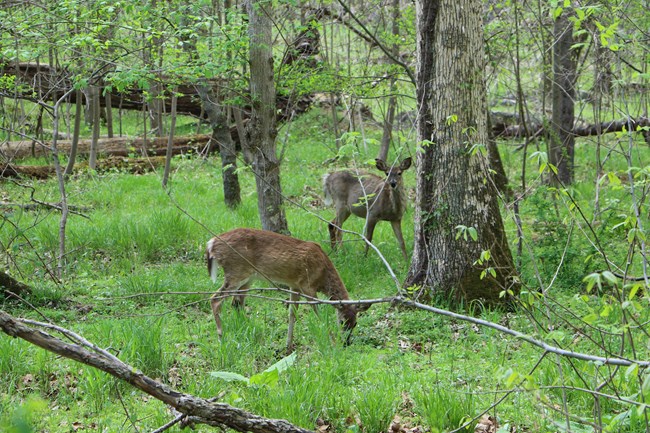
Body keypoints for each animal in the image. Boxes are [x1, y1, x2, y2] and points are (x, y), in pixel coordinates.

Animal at [205, 228, 370, 351]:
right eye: (342, 322)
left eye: (355, 323)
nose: (346, 343)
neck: (322, 275)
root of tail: (211, 243)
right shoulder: (307, 285)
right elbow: (318, 314)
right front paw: (333, 341)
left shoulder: (295, 286)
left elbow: (292, 314)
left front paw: (289, 346)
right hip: (236, 271)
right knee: (215, 300)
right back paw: (221, 336)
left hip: (247, 278)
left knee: (236, 303)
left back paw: (250, 333)